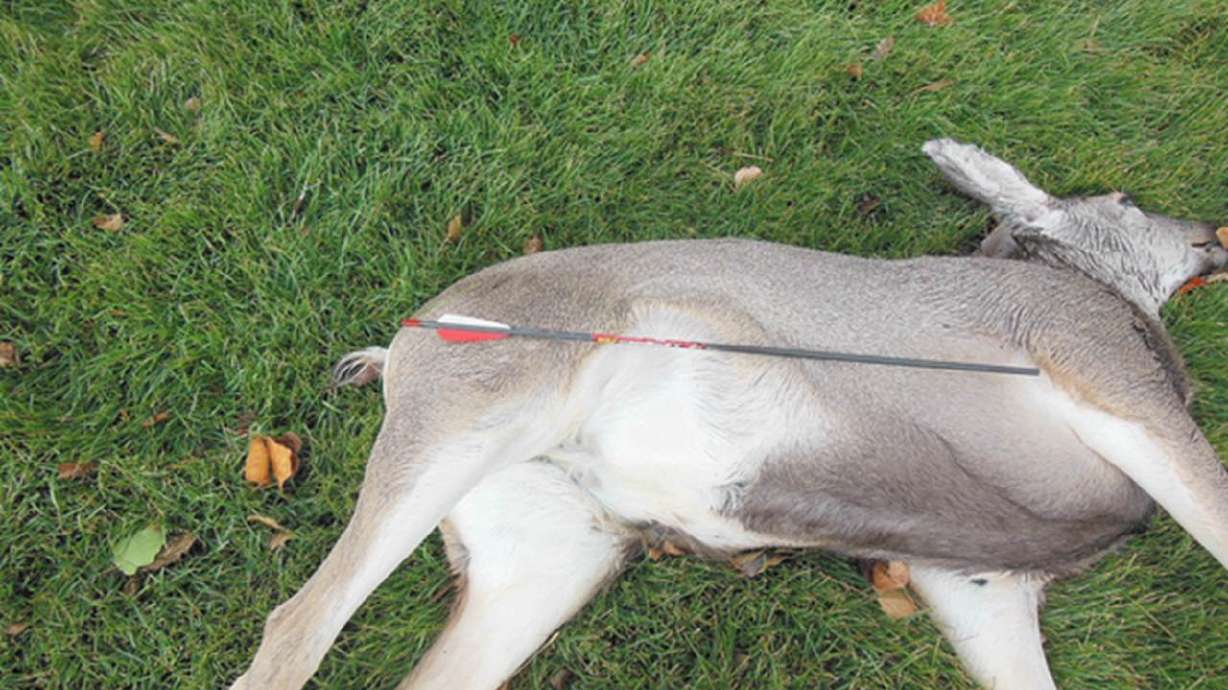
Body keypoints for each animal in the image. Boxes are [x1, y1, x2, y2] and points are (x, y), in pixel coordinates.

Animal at [229, 140, 1228, 690]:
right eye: (1125, 199)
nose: (1212, 234)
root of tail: (397, 348)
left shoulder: (975, 584)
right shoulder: (1100, 370)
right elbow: (1214, 509)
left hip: (552, 555)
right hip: (473, 416)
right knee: (295, 627)